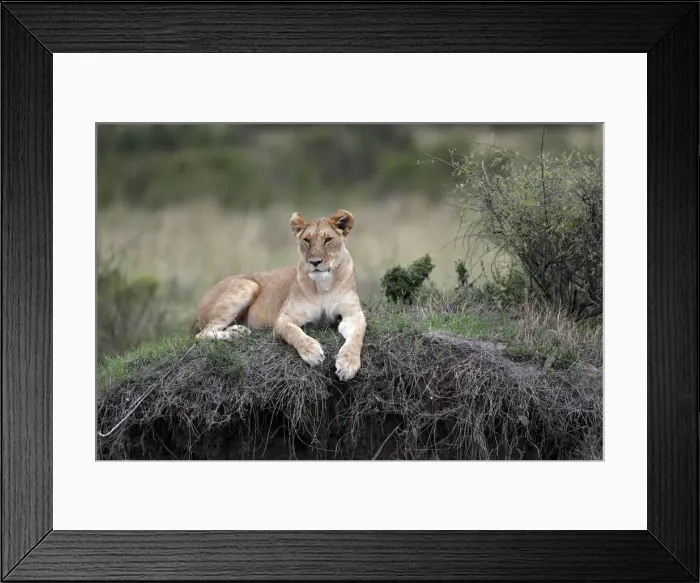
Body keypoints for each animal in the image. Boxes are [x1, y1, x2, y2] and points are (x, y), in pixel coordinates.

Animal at [192, 209, 367, 381]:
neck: (323, 284)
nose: (315, 262)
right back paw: (235, 335)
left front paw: (348, 364)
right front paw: (312, 352)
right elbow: (294, 333)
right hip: (249, 285)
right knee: (202, 335)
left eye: (328, 239)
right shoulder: (283, 319)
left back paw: (237, 330)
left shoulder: (352, 315)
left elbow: (357, 336)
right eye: (307, 240)